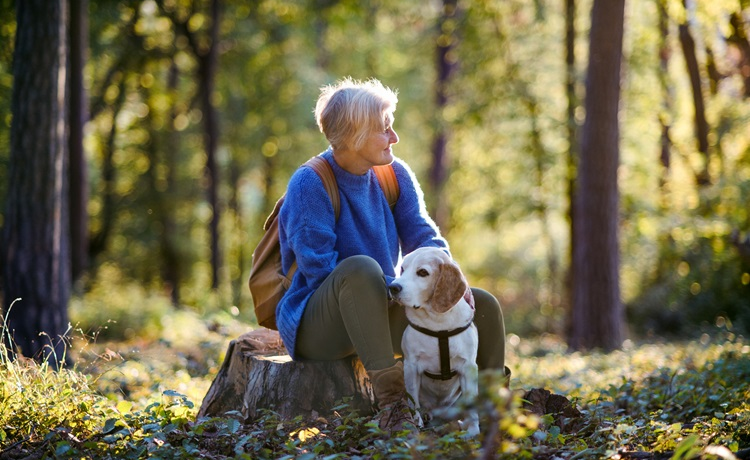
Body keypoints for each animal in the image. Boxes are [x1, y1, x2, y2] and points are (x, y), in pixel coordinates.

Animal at [390, 246, 478, 436]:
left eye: (422, 272)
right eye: (402, 269)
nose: (392, 287)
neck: (438, 324)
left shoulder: (468, 367)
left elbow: (472, 406)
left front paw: (474, 431)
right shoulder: (411, 366)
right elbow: (413, 401)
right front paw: (417, 424)